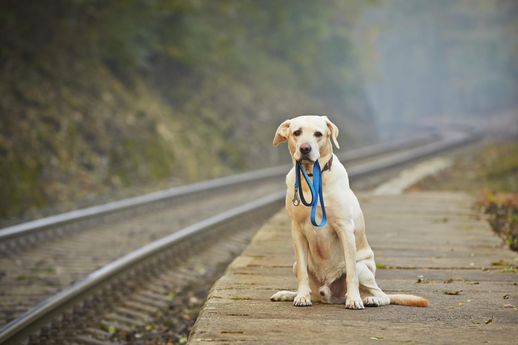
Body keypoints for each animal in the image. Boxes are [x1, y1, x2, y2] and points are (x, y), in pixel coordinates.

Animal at [270, 115, 428, 310]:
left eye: (318, 134)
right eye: (297, 132)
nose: (305, 148)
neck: (313, 178)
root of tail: (331, 296)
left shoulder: (344, 228)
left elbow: (351, 272)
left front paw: (354, 299)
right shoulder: (297, 230)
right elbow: (302, 274)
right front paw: (301, 297)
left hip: (364, 270)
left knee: (382, 294)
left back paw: (370, 299)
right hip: (296, 266)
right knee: (309, 285)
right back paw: (289, 294)